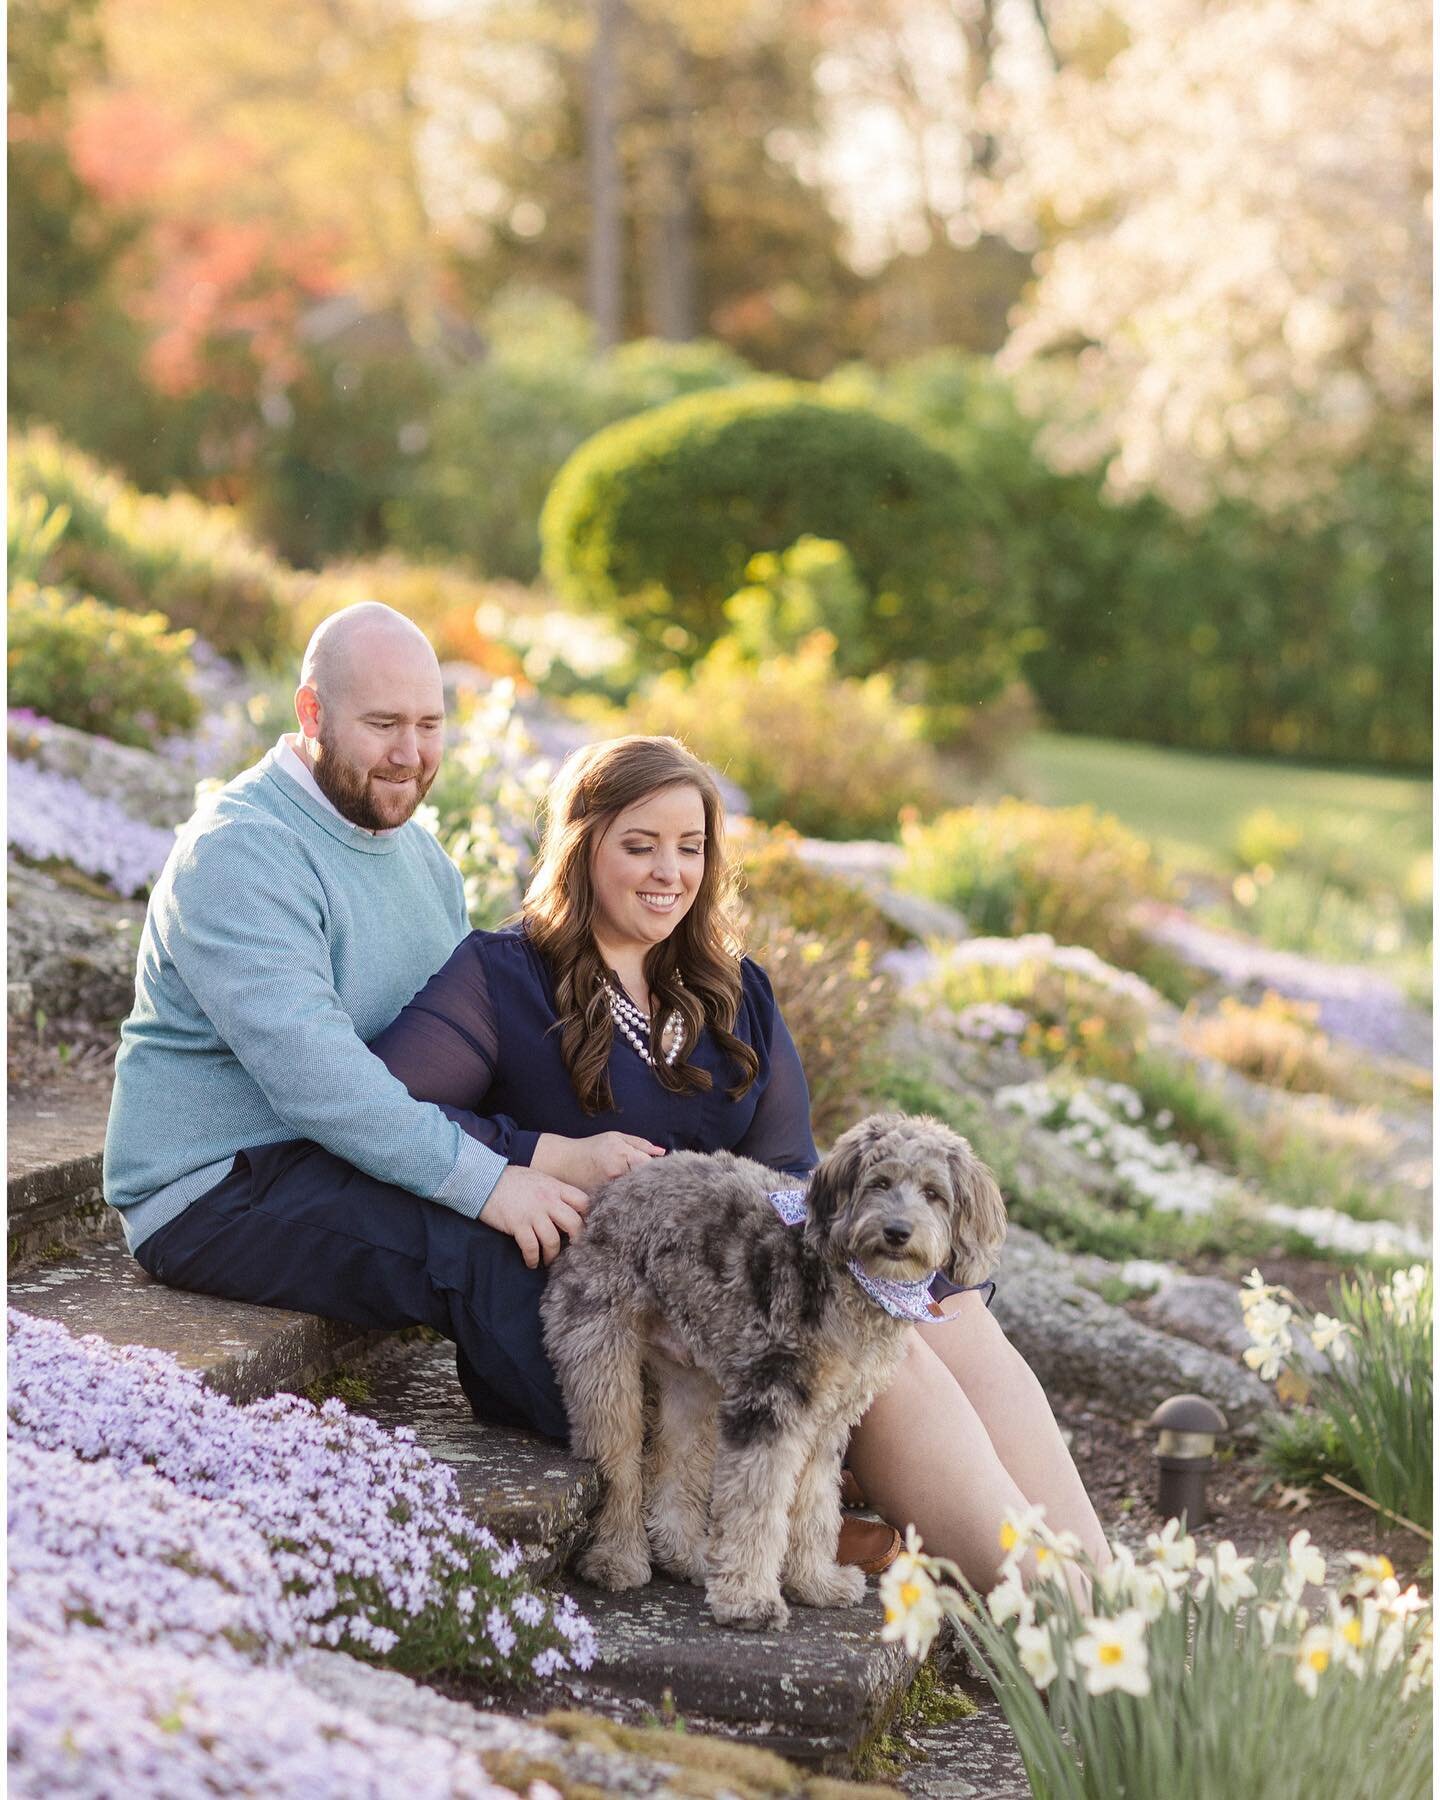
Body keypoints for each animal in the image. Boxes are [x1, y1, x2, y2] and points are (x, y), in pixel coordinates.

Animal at [536, 1108, 1000, 1634]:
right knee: (619, 1469)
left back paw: (686, 1555)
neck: (847, 1279)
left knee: (676, 1466)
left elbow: (815, 1508)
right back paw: (617, 1559)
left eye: (933, 1193)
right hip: (603, 1363)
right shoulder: (770, 1404)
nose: (898, 1232)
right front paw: (749, 1600)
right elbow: (758, 1509)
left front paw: (815, 1584)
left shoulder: (827, 1422)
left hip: (694, 1384)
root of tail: (603, 1197)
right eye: (880, 1182)